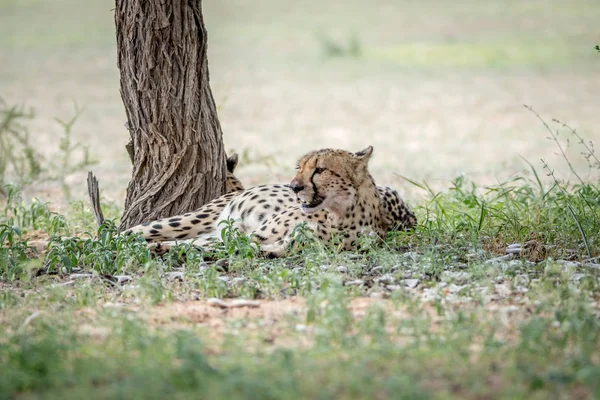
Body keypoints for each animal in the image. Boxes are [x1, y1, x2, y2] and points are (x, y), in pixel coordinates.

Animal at [125, 147, 418, 256]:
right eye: (299, 167)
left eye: (319, 170)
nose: (294, 186)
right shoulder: (255, 235)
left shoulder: (280, 244)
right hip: (191, 219)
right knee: (129, 232)